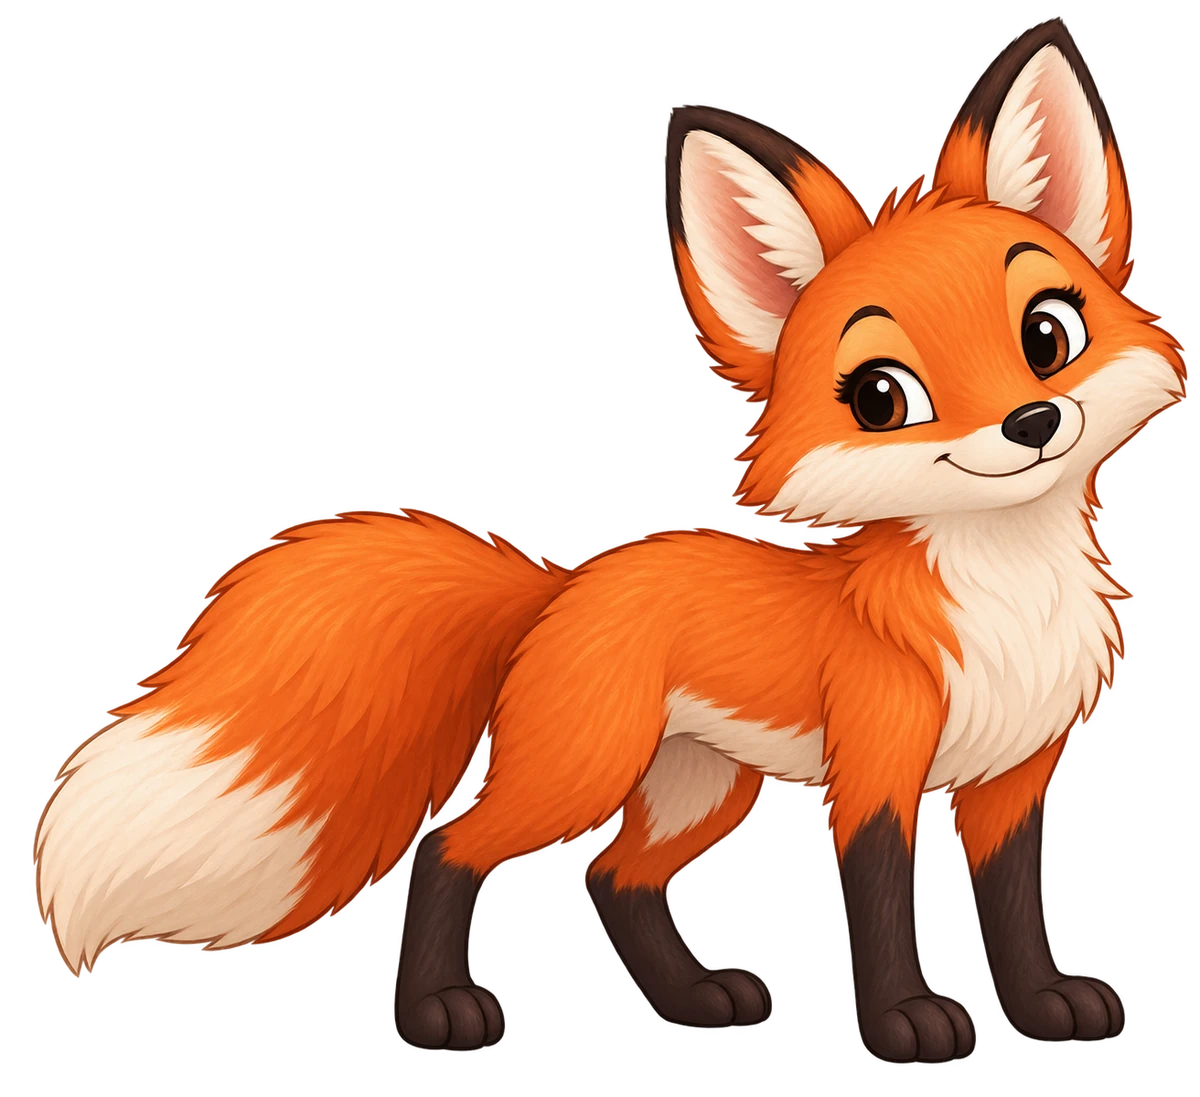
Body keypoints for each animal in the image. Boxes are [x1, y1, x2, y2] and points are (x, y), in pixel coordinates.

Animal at [30, 17, 1186, 1061]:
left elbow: (1012, 910)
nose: (1031, 424)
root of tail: (562, 582)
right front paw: (905, 1021)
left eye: (1049, 334)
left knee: (612, 877)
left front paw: (1042, 1006)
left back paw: (692, 1000)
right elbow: (884, 905)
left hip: (700, 788)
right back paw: (440, 1011)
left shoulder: (1015, 779)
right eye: (882, 396)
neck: (1007, 602)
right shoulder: (876, 770)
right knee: (454, 849)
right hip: (583, 767)